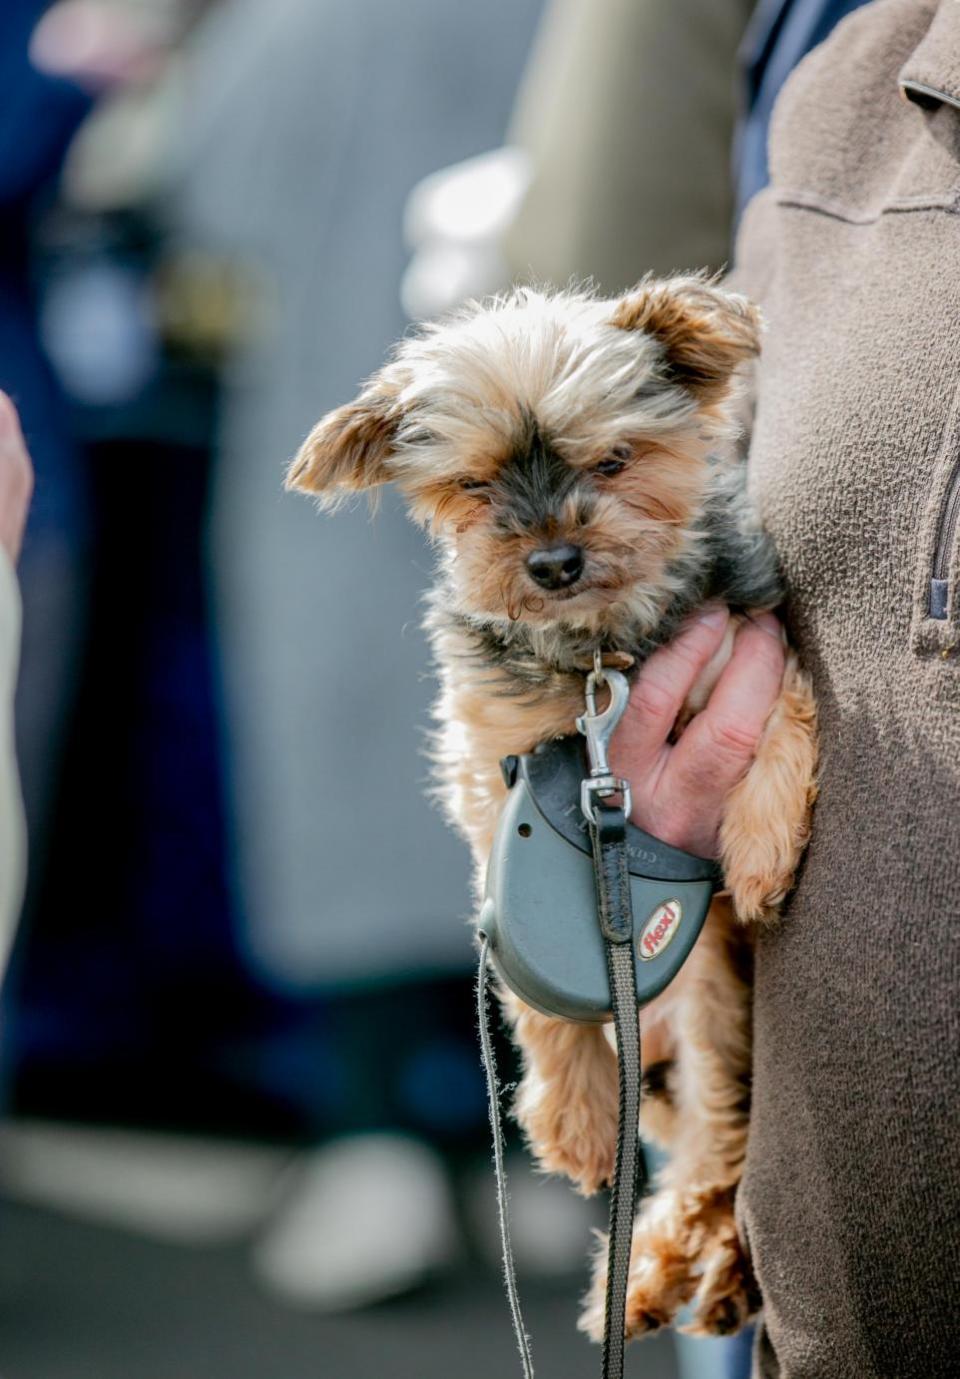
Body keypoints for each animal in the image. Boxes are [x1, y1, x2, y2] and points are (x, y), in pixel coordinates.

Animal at [285, 274, 816, 1340]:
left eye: (614, 458)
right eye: (474, 485)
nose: (554, 562)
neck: (596, 653)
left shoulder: (746, 640)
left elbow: (785, 711)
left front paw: (763, 847)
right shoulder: (497, 788)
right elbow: (535, 985)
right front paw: (574, 1117)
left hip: (713, 1001)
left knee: (722, 1132)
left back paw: (684, 1261)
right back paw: (654, 1271)